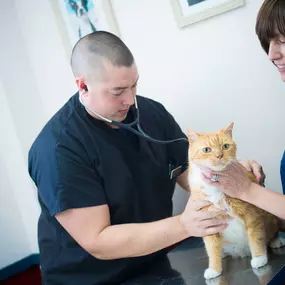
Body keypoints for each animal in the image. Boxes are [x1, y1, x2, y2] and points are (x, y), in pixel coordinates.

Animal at [186, 122, 284, 280]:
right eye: (206, 150)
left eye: (225, 146)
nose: (219, 155)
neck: (216, 187)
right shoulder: (208, 223)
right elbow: (212, 249)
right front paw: (214, 269)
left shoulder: (252, 215)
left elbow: (256, 238)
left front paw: (259, 258)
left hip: (270, 217)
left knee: (272, 231)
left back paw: (275, 241)